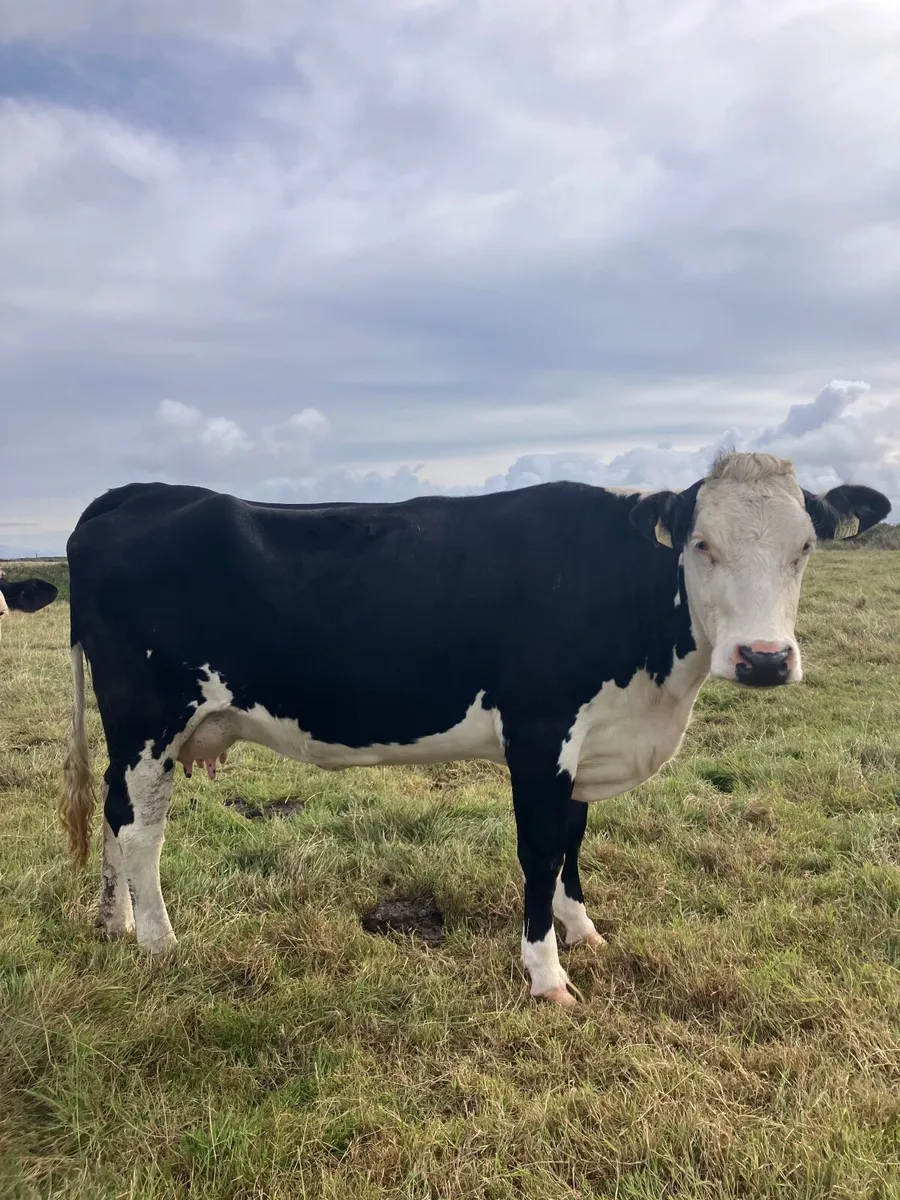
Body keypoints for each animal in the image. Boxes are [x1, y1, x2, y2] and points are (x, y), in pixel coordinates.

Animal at [59, 452, 890, 1005]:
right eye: (702, 544)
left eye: (805, 547)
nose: (763, 659)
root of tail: (135, 494)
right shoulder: (541, 732)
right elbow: (541, 850)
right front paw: (547, 975)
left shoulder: (587, 739)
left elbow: (574, 841)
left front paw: (581, 928)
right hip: (147, 715)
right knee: (141, 826)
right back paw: (161, 943)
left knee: (115, 811)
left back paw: (113, 923)